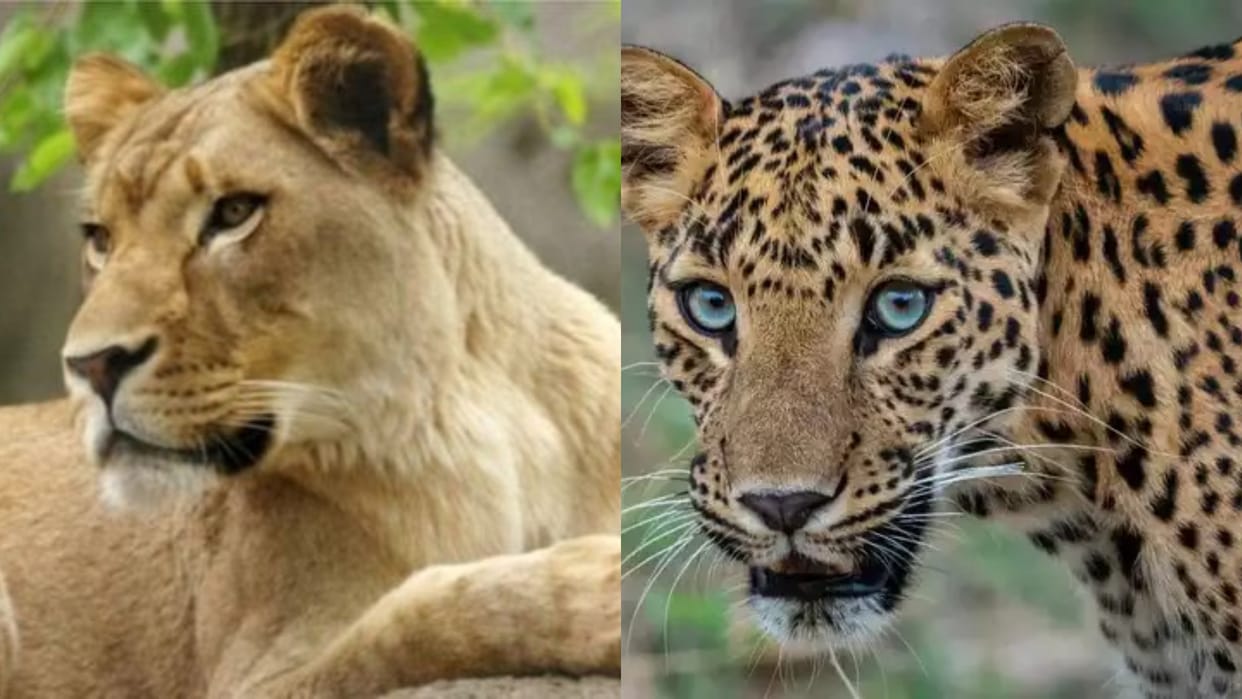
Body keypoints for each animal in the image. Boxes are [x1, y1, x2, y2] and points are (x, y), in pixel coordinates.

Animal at [0, 6, 620, 698]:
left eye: (233, 212)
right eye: (100, 239)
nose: (90, 365)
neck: (470, 411)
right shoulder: (253, 674)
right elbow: (415, 619)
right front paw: (595, 586)